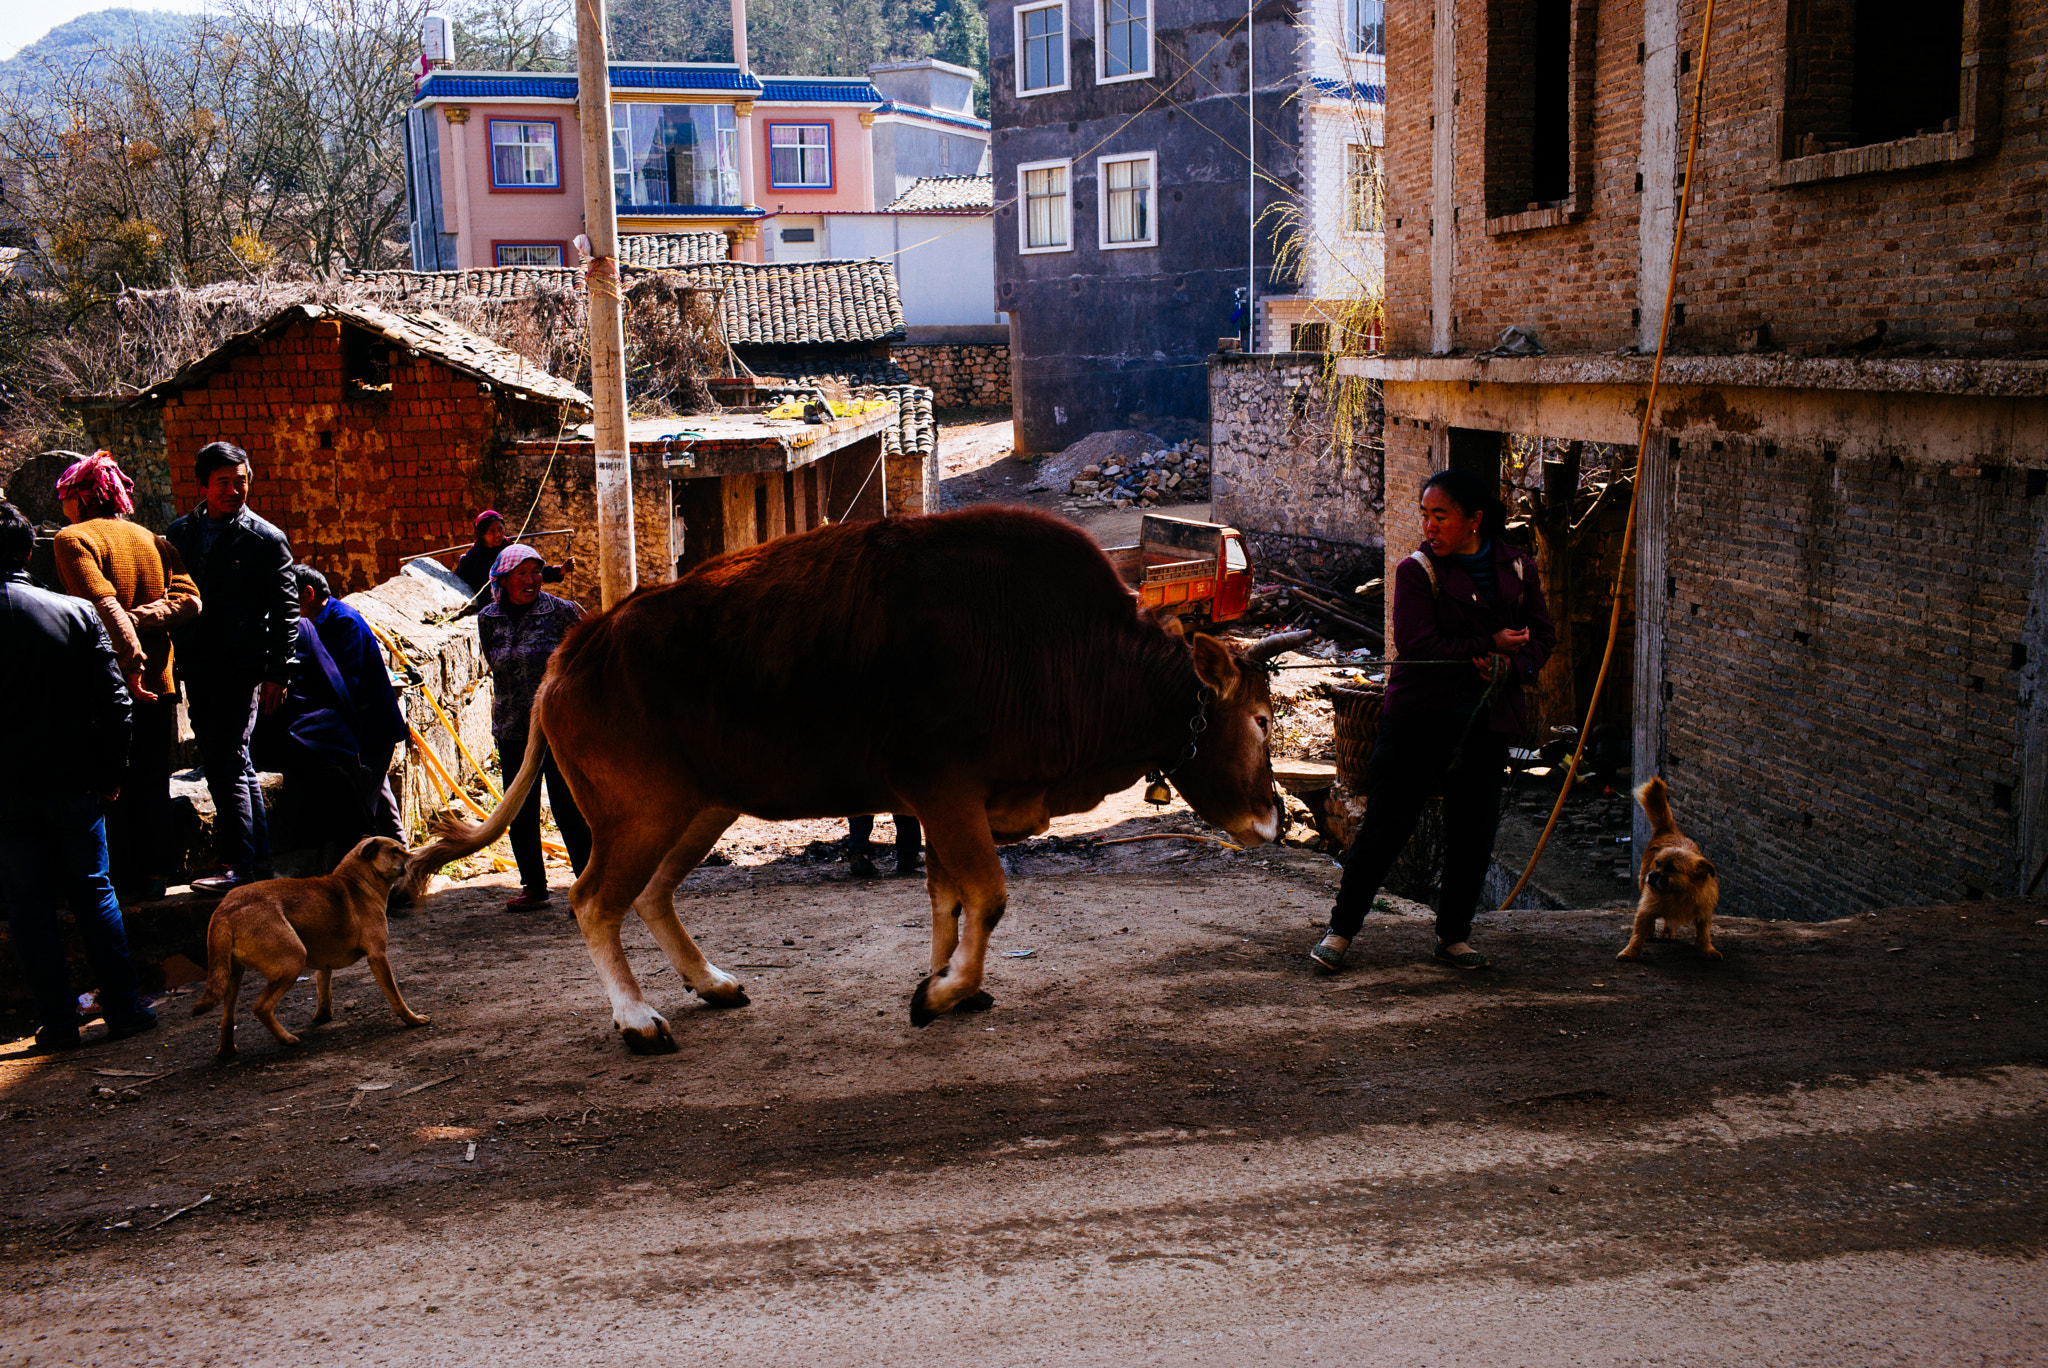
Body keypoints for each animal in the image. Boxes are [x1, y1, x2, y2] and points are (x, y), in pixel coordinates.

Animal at [193, 835, 430, 1056]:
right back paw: (286, 1039)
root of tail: (225, 909)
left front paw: (323, 1016)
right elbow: (395, 995)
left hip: (232, 975)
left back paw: (226, 1050)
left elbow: (324, 990)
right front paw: (412, 1019)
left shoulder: (325, 963)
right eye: (395, 850)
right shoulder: (378, 955)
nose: (417, 857)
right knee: (261, 1007)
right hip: (293, 960)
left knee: (227, 1017)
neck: (357, 882)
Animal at [411, 501, 1310, 1048]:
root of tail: (573, 650)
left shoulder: (950, 809)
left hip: (701, 808)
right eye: (1262, 719)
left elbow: (950, 904)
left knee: (655, 894)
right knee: (595, 901)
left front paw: (950, 983)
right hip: (639, 814)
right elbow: (988, 898)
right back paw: (637, 1018)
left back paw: (711, 983)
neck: (1057, 649)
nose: (1276, 818)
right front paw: (939, 995)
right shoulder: (948, 796)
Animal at [1622, 778, 1720, 962]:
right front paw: (1629, 952)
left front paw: (1707, 949)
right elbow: (1637, 934)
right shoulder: (1646, 906)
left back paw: (1668, 931)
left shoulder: (1704, 912)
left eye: (1672, 869)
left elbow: (1704, 934)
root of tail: (1670, 831)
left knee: (1668, 920)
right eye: (1657, 863)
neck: (1678, 894)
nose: (1651, 875)